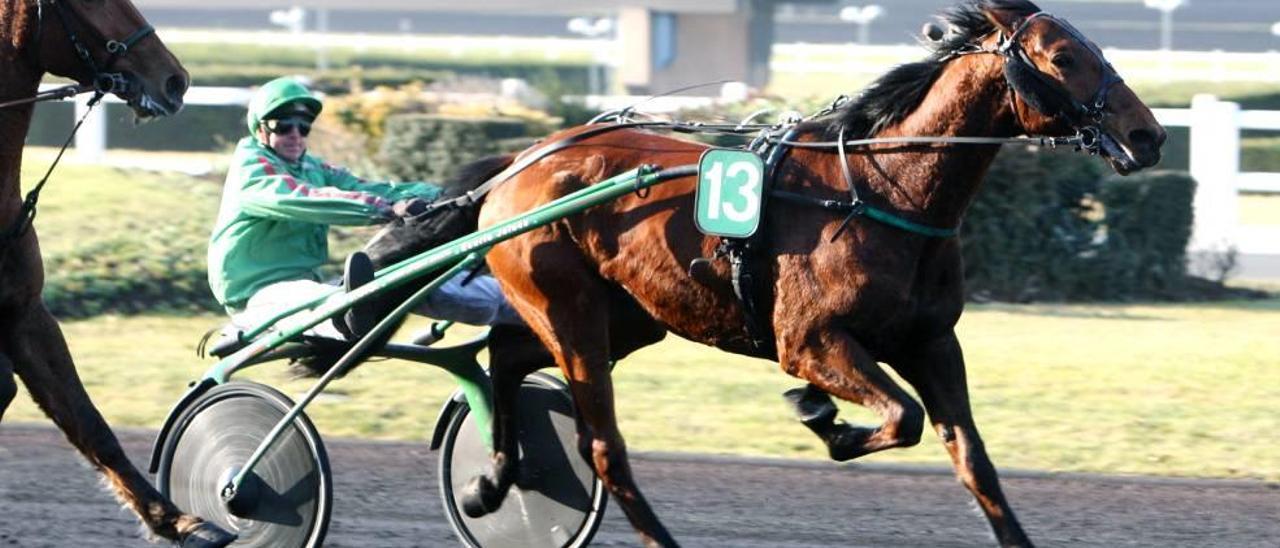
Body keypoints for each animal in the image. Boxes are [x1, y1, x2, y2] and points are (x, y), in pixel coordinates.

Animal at [450, 1, 1162, 548]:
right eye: (1064, 57)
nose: (1148, 134)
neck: (882, 190)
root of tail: (522, 160)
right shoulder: (810, 340)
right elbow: (901, 416)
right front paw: (823, 417)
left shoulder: (932, 342)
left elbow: (973, 460)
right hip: (570, 311)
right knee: (601, 446)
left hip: (625, 318)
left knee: (506, 353)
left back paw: (491, 482)